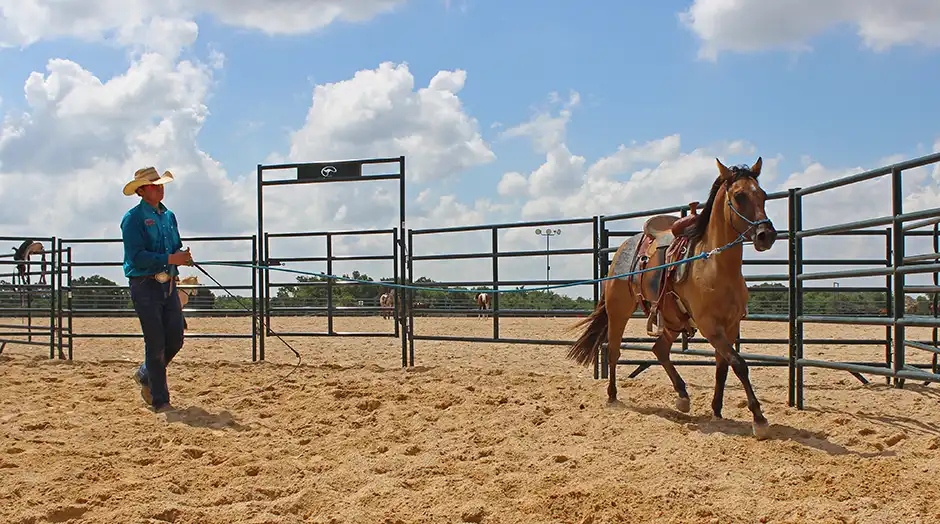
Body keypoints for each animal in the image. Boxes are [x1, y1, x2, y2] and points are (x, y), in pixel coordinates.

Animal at [566, 157, 777, 439]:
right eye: (739, 195)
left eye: (763, 195)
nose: (766, 235)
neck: (715, 266)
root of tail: (624, 248)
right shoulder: (711, 327)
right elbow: (739, 364)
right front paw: (759, 419)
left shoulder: (731, 326)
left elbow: (723, 367)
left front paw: (717, 410)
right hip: (619, 312)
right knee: (614, 352)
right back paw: (612, 396)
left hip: (673, 320)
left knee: (659, 349)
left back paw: (682, 396)